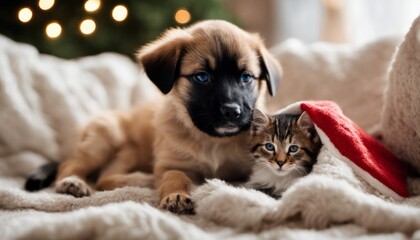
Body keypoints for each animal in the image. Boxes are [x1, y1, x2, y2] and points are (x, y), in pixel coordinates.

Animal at [28, 19, 282, 213]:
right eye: (202, 77)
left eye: (246, 77)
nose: (231, 111)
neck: (213, 142)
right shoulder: (173, 163)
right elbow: (175, 176)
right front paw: (176, 195)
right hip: (104, 139)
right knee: (79, 168)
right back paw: (74, 182)